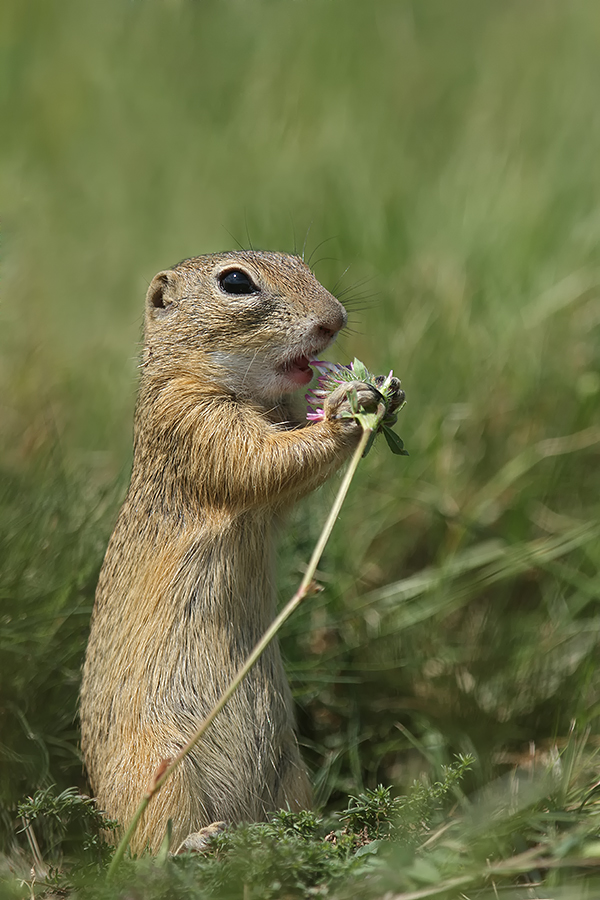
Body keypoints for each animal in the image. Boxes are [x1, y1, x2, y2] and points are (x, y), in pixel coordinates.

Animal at [77, 251, 400, 852]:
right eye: (234, 282)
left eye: (301, 262)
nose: (335, 319)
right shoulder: (193, 422)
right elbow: (263, 461)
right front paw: (353, 404)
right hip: (161, 772)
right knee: (143, 852)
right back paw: (197, 844)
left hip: (290, 774)